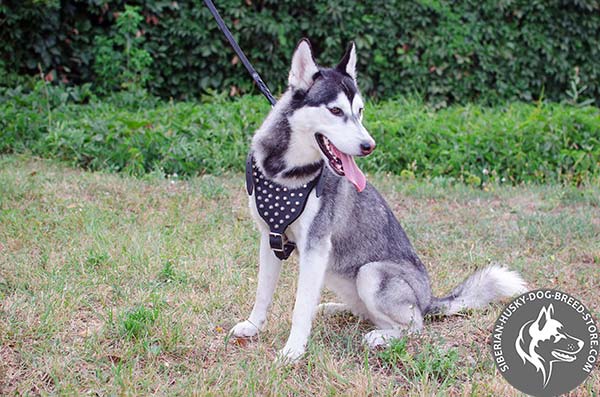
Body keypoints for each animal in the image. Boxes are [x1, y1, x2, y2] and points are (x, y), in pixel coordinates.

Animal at [232, 38, 528, 360]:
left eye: (359, 110)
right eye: (335, 110)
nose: (369, 145)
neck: (287, 171)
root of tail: (428, 299)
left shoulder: (315, 246)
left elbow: (300, 307)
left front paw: (293, 350)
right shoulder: (270, 238)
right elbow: (263, 292)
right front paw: (253, 326)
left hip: (371, 273)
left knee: (414, 325)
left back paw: (381, 336)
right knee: (363, 312)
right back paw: (335, 309)